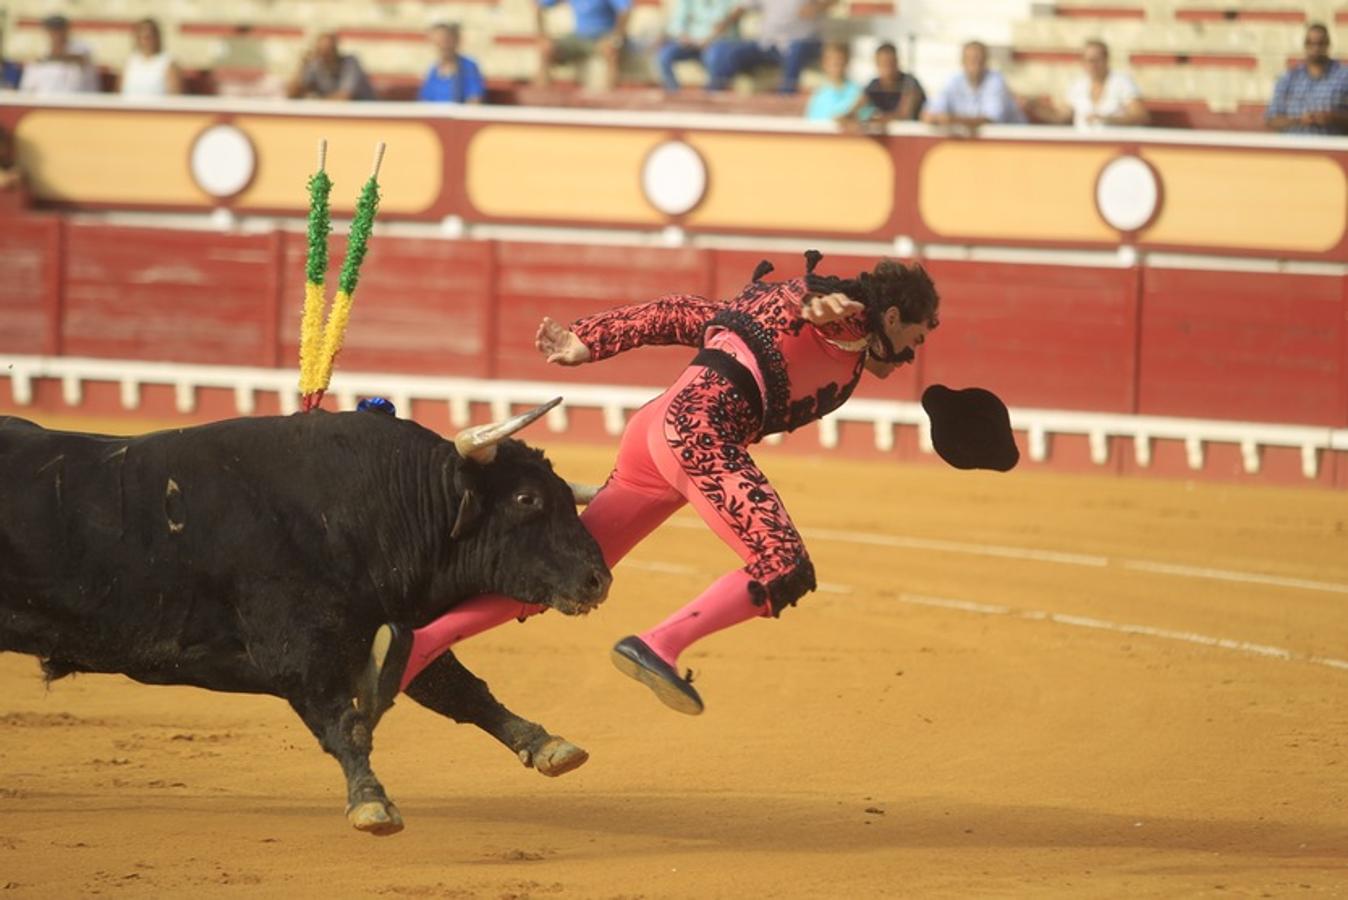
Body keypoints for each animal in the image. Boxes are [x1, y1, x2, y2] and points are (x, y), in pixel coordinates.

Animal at [0, 412, 611, 835]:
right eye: (526, 498)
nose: (597, 579)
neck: (367, 509)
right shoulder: (298, 653)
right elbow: (343, 721)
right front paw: (371, 802)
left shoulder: (383, 635)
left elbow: (460, 690)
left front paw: (547, 745)